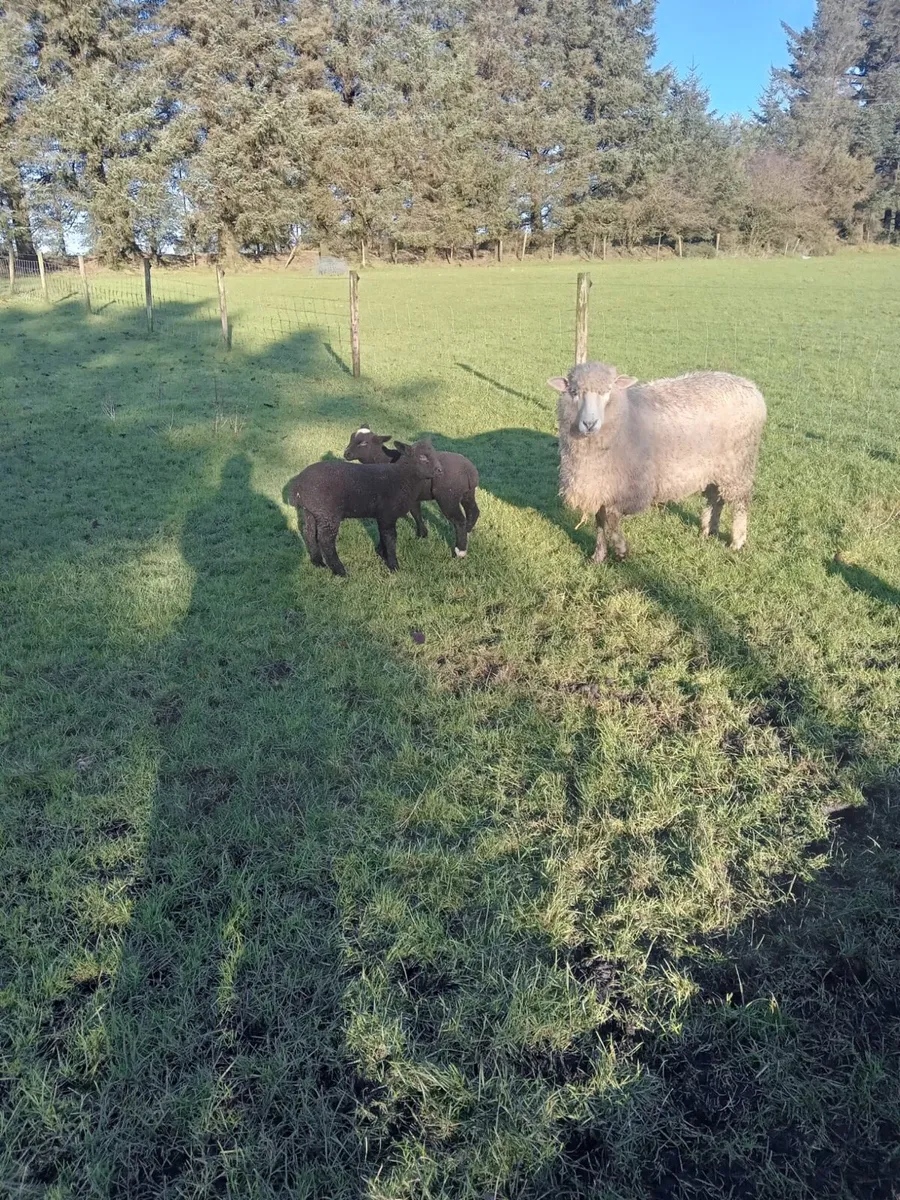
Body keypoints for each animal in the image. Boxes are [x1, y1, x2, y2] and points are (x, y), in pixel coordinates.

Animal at [287, 439, 444, 576]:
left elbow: (383, 535)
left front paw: (381, 552)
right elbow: (390, 538)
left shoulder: (382, 516)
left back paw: (318, 562)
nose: (440, 471)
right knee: (326, 541)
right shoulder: (388, 514)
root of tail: (298, 486)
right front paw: (393, 565)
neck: (403, 476)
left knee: (309, 534)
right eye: (422, 456)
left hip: (311, 511)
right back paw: (340, 571)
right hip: (328, 513)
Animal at [343, 427, 480, 558]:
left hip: (448, 496)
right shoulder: (412, 495)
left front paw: (381, 550)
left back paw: (460, 551)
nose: (346, 453)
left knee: (459, 520)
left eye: (364, 443)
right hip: (467, 493)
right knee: (473, 512)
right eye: (351, 437)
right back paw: (467, 533)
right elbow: (416, 512)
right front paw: (422, 534)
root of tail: (469, 470)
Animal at [547, 362, 767, 563]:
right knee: (715, 498)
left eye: (607, 391)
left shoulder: (630, 489)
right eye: (574, 392)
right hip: (716, 469)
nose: (589, 423)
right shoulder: (602, 487)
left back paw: (737, 541)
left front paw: (621, 550)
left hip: (739, 464)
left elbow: (611, 519)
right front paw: (598, 556)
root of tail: (751, 388)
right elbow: (600, 522)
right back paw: (707, 530)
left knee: (740, 503)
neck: (626, 418)